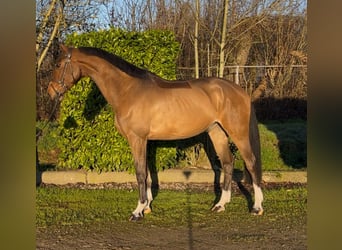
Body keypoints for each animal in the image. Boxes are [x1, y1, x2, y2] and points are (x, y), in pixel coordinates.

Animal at [48, 45, 264, 221]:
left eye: (58, 64)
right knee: (228, 162)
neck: (128, 90)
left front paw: (137, 211)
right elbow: (148, 172)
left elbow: (140, 172)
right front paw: (147, 207)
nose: (51, 92)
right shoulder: (145, 141)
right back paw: (220, 205)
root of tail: (240, 91)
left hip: (238, 133)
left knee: (251, 162)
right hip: (216, 131)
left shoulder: (137, 139)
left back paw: (257, 207)